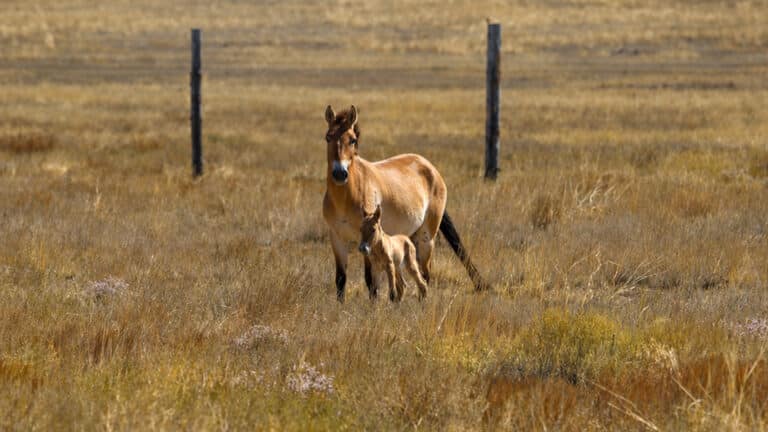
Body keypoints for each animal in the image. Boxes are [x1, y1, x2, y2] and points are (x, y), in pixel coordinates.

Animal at [321, 105, 488, 302]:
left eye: (353, 140)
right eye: (328, 137)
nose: (340, 174)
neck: (345, 197)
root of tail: (430, 167)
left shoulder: (368, 241)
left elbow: (371, 281)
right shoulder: (337, 238)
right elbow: (340, 279)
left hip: (426, 238)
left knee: (424, 274)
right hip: (411, 237)